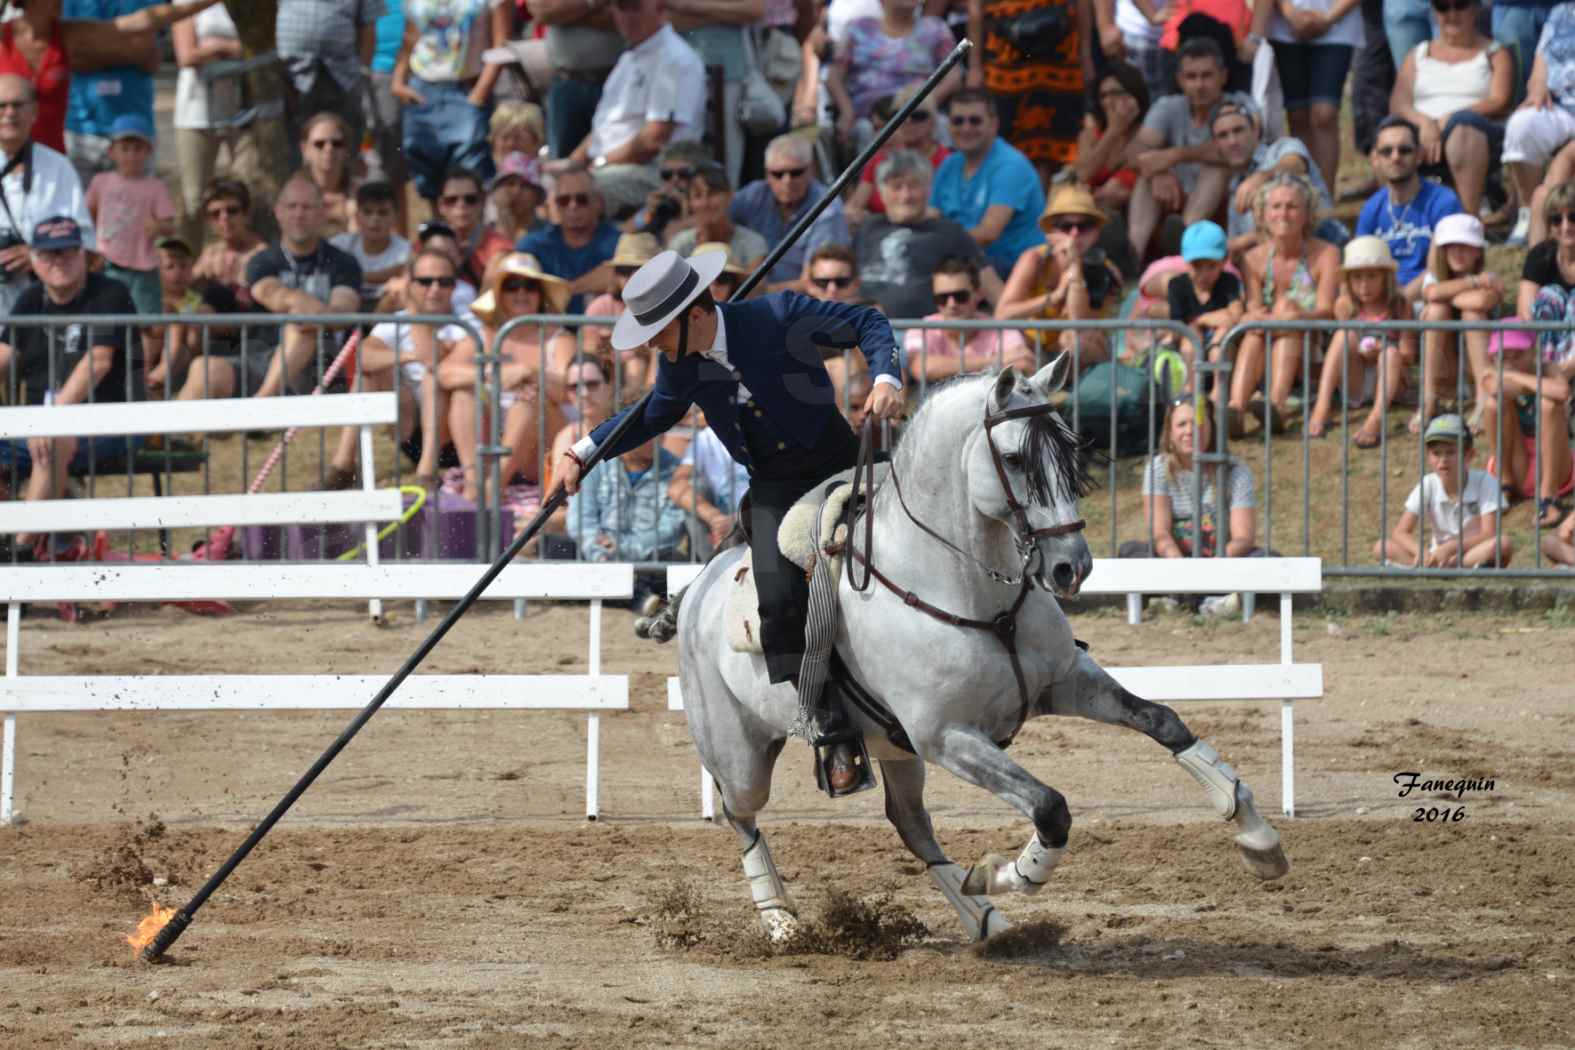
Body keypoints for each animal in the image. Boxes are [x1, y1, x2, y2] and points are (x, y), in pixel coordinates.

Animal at [670, 358, 1285, 944]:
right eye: (1013, 459)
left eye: (1069, 447)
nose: (1072, 567)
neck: (970, 592)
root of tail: (698, 584)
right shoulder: (950, 738)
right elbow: (1050, 807)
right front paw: (1004, 872)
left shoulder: (1067, 681)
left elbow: (1165, 723)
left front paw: (1258, 837)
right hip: (742, 753)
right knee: (742, 815)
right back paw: (782, 922)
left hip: (895, 750)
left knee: (911, 825)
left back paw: (986, 922)